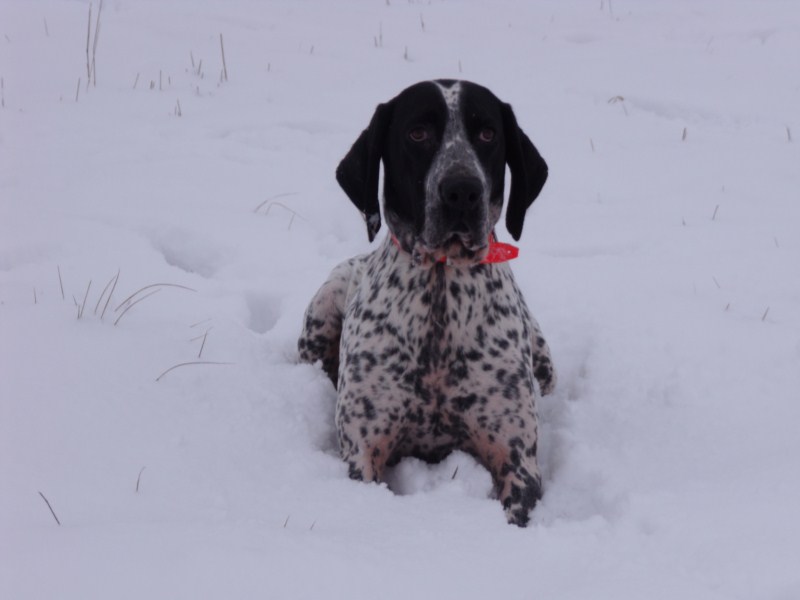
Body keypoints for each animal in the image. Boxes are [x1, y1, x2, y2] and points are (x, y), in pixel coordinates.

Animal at [300, 79, 556, 524]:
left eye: (487, 133)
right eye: (417, 133)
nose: (462, 190)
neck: (440, 290)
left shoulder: (517, 458)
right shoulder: (363, 449)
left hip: (545, 361)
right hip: (322, 309)